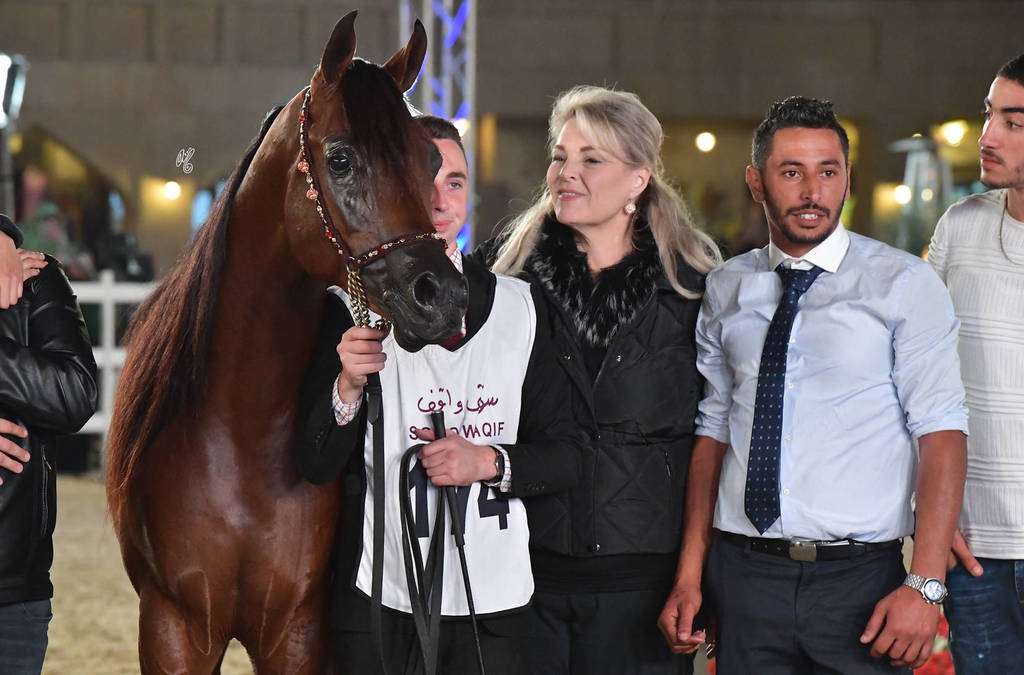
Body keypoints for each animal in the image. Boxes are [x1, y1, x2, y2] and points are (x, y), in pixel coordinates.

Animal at [105, 12, 468, 672]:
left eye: (429, 160)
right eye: (341, 159)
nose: (444, 296)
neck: (239, 433)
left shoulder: (296, 632)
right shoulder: (174, 627)